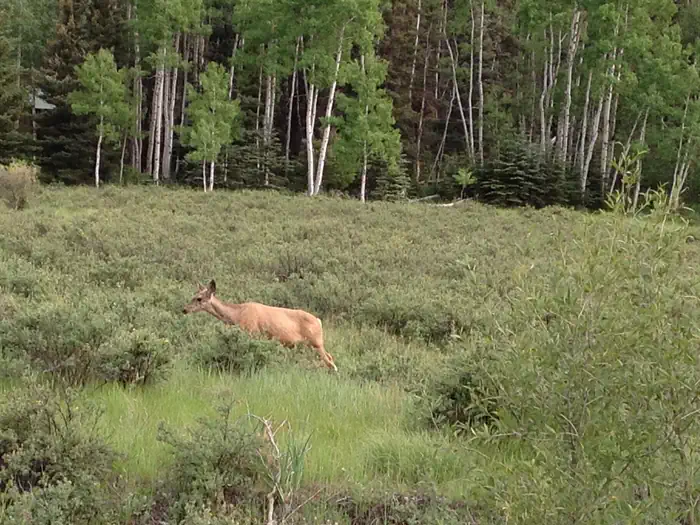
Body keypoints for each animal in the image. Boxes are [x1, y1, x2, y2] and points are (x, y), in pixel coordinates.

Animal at [182, 280, 338, 372]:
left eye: (199, 298)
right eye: (193, 296)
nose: (184, 309)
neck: (236, 314)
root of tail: (318, 321)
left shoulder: (252, 332)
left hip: (316, 342)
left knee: (330, 362)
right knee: (330, 357)